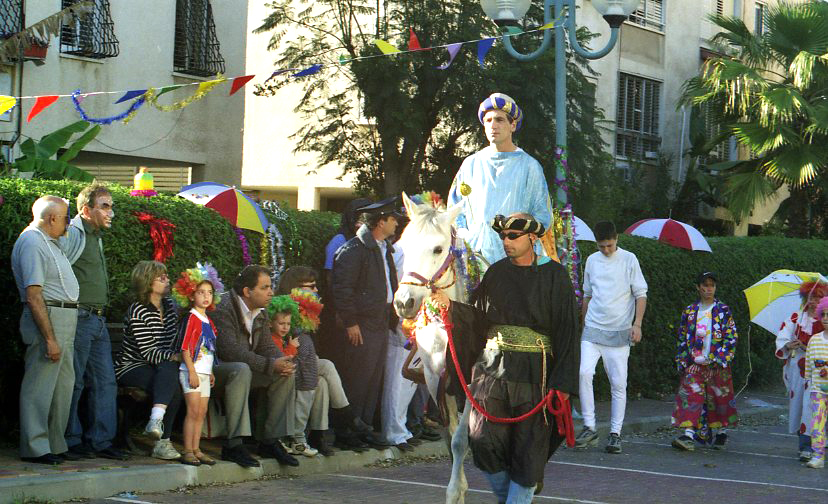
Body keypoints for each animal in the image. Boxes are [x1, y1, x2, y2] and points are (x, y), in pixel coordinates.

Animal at [392, 191, 478, 502]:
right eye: (403, 245)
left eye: (438, 249)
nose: (404, 302)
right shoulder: (434, 378)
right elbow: (450, 437)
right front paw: (459, 489)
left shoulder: (472, 382)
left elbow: (461, 439)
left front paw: (455, 489)